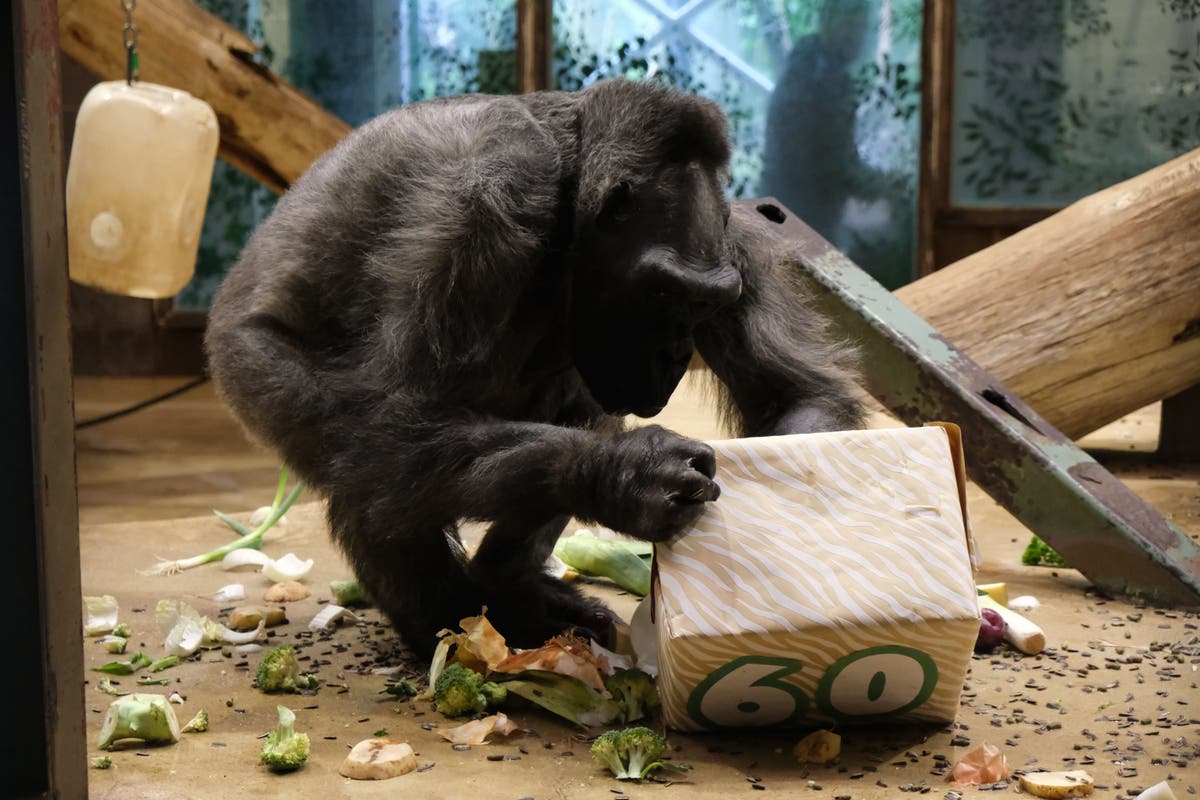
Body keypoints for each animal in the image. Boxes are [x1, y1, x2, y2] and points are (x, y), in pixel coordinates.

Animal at [205, 80, 862, 657]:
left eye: (705, 304)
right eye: (663, 295)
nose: (677, 352)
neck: (566, 193)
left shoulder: (737, 244)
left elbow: (793, 394)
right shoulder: (484, 204)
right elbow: (400, 415)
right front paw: (627, 473)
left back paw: (509, 587)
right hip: (253, 372)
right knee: (370, 460)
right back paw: (451, 624)